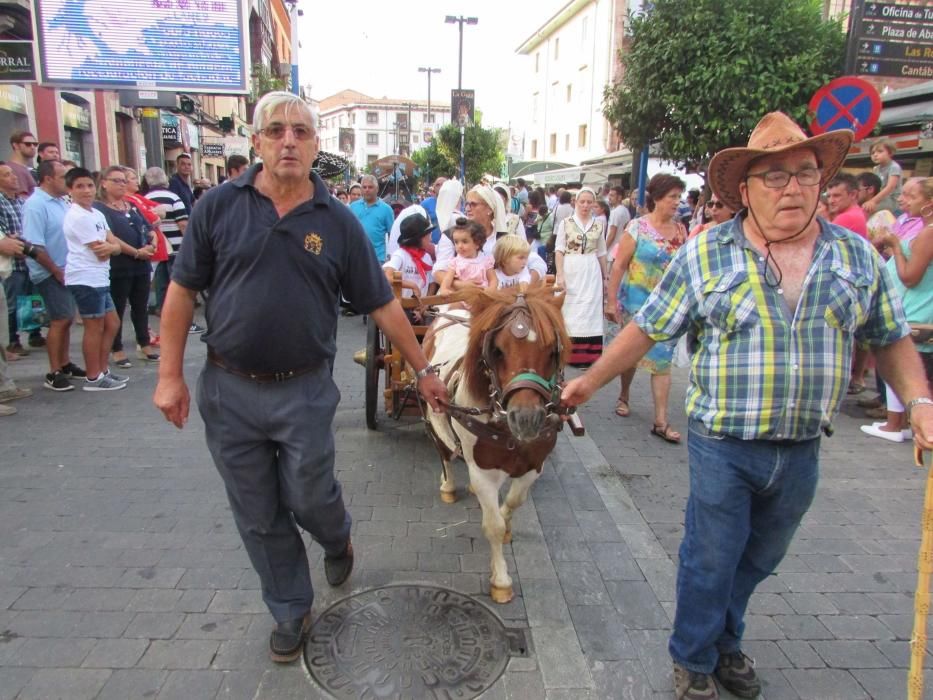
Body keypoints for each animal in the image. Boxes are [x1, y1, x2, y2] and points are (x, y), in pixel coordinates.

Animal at [422, 284, 568, 600]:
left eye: (553, 350)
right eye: (497, 350)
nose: (526, 419)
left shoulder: (533, 467)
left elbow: (514, 501)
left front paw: (507, 520)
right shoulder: (484, 473)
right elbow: (493, 526)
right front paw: (500, 580)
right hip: (433, 417)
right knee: (444, 453)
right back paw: (449, 485)